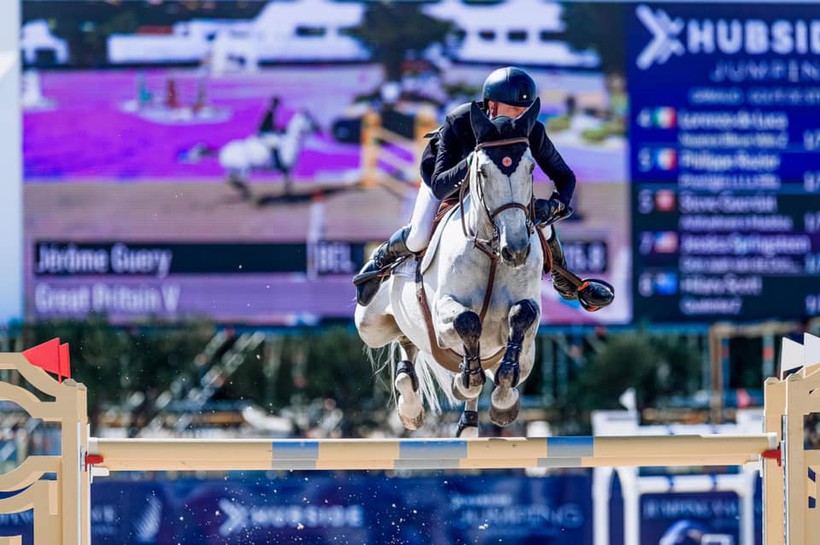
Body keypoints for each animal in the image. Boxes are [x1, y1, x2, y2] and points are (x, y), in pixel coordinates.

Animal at [354, 99, 540, 438]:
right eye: (482, 172)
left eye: (531, 168)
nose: (517, 249)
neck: (493, 254)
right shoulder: (442, 314)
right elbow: (467, 321)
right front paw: (466, 381)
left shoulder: (524, 319)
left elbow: (523, 316)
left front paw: (503, 400)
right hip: (370, 326)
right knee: (406, 342)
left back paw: (468, 420)